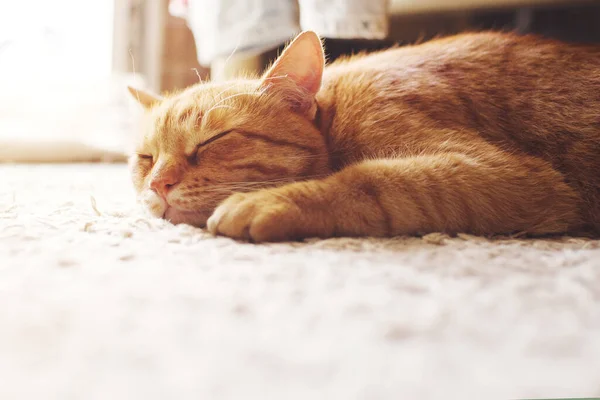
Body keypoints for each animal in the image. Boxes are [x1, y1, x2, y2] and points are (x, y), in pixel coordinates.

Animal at [127, 30, 600, 241]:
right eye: (146, 159)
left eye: (213, 141)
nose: (158, 185)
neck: (334, 115)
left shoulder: (512, 176)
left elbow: (370, 180)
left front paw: (267, 202)